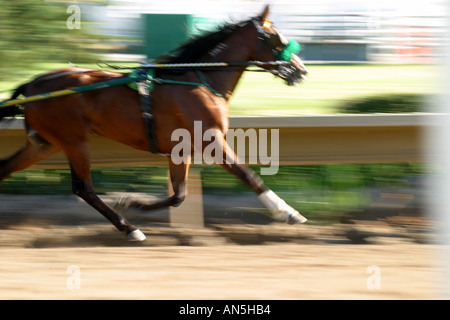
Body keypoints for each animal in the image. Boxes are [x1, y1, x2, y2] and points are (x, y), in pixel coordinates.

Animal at [0, 5, 306, 241]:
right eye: (277, 39)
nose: (301, 70)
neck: (200, 81)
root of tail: (33, 85)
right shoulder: (210, 140)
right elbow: (249, 175)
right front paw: (288, 212)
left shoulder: (181, 149)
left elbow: (179, 195)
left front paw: (132, 201)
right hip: (74, 140)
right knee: (83, 188)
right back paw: (130, 229)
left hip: (45, 143)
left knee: (5, 168)